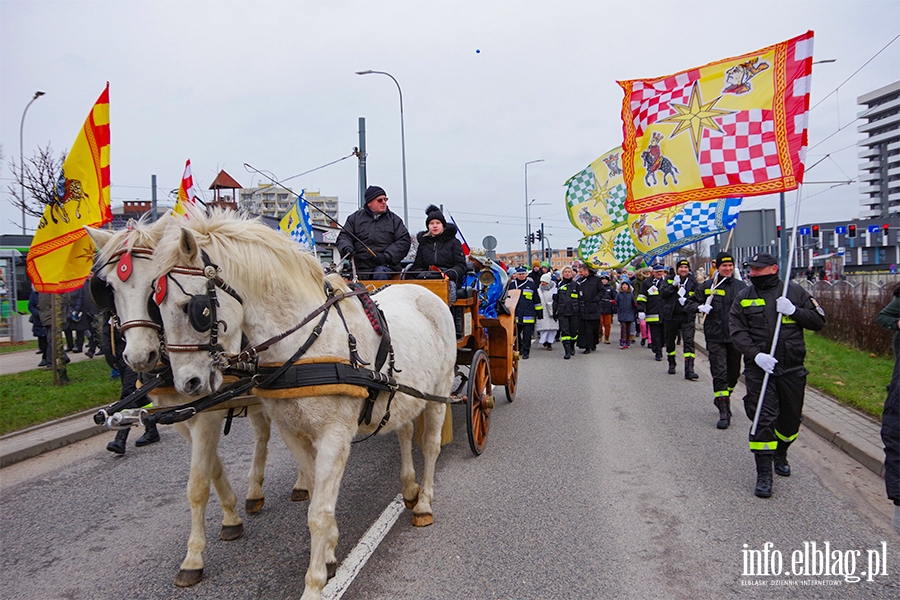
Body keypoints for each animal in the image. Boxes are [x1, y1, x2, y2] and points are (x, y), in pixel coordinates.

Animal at [87, 216, 310, 584]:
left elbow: (197, 483)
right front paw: (231, 516)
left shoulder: (208, 411)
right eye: (109, 289)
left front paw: (193, 558)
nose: (139, 357)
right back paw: (255, 492)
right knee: (264, 435)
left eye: (152, 286)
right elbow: (212, 469)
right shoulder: (182, 413)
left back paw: (301, 483)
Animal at [150, 207, 454, 600]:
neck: (307, 341)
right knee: (403, 433)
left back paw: (425, 503)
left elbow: (318, 513)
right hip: (403, 394)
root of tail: (421, 288)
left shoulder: (334, 436)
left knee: (430, 445)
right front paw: (329, 556)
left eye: (194, 309)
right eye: (155, 305)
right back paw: (410, 488)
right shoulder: (292, 432)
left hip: (439, 391)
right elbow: (314, 497)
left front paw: (314, 583)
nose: (188, 383)